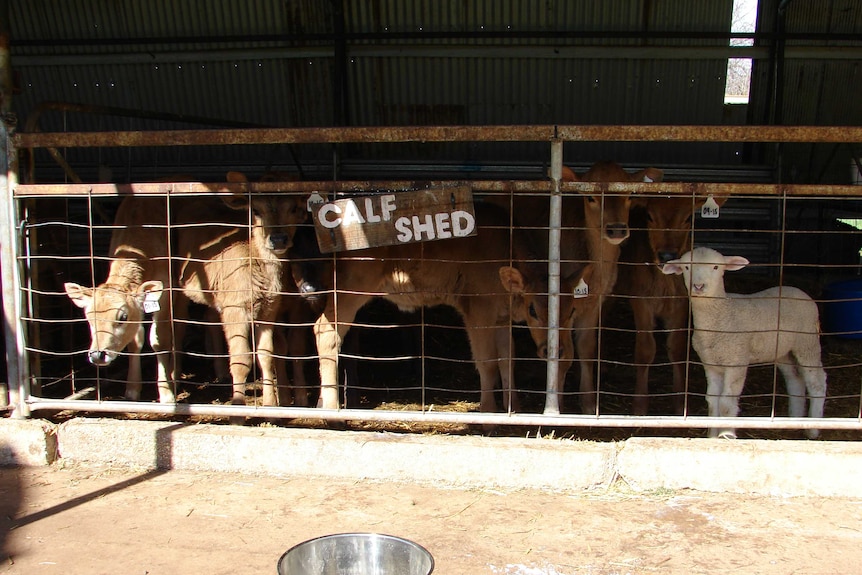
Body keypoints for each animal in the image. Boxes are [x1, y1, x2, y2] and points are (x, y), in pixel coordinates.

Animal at [664, 245, 828, 438]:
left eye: (716, 267)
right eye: (687, 267)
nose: (698, 286)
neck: (721, 314)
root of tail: (800, 292)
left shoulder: (737, 361)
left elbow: (726, 404)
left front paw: (726, 435)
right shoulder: (711, 364)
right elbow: (712, 400)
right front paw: (712, 436)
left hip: (807, 342)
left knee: (817, 382)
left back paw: (813, 430)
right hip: (782, 351)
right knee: (795, 380)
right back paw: (794, 420)